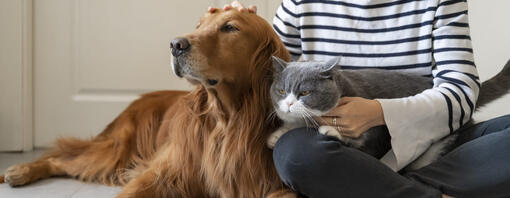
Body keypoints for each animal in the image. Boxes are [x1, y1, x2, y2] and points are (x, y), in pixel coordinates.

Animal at [0, 8, 294, 198]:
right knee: (61, 158)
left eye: (230, 27)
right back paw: (19, 171)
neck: (227, 120)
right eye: (198, 25)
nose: (175, 44)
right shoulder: (160, 174)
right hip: (116, 150)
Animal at [266, 56, 510, 170]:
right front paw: (277, 134)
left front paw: (330, 130)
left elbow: (359, 142)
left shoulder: (373, 135)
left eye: (305, 92)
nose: (288, 104)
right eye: (281, 91)